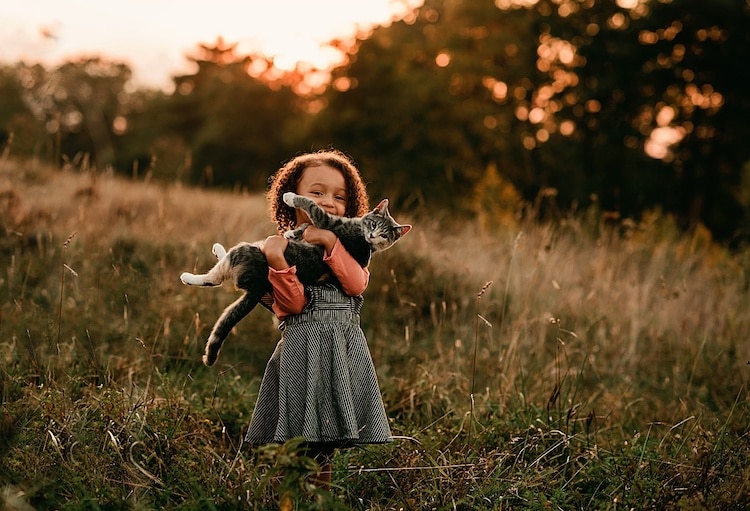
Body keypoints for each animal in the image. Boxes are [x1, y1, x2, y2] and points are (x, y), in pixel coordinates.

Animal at [183, 190, 418, 366]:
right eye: (374, 225)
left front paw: (290, 197)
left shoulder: (329, 223)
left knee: (217, 276)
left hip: (245, 252)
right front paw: (294, 232)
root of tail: (260, 283)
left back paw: (195, 272)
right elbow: (306, 227)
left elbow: (312, 206)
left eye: (384, 235)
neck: (364, 241)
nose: (372, 235)